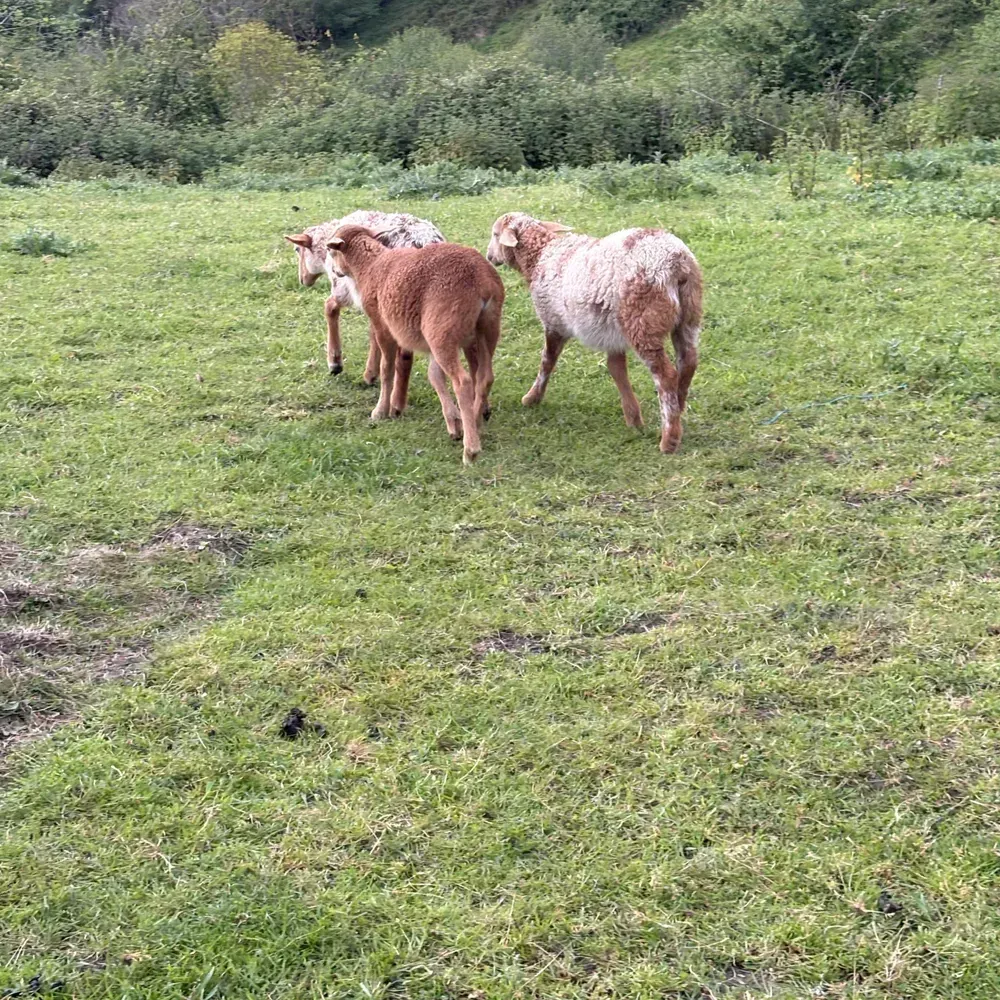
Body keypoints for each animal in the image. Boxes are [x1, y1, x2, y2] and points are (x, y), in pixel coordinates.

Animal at [284, 211, 444, 382]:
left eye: (297, 249)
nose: (302, 280)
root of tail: (424, 241)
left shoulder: (346, 287)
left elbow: (330, 307)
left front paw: (336, 363)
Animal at [326, 225, 505, 465]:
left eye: (331, 251)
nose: (336, 272)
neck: (370, 265)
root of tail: (482, 279)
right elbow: (434, 376)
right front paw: (453, 422)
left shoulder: (383, 327)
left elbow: (387, 369)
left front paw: (381, 411)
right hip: (484, 329)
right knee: (484, 377)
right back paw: (475, 423)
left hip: (442, 331)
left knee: (464, 381)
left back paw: (471, 450)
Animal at [486, 213, 703, 454]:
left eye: (495, 234)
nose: (489, 256)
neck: (542, 255)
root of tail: (676, 263)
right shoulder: (611, 331)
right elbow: (616, 368)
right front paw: (633, 418)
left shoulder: (553, 321)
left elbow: (547, 361)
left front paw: (532, 398)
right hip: (688, 315)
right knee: (688, 362)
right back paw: (678, 409)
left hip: (642, 320)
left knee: (665, 376)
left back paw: (669, 439)